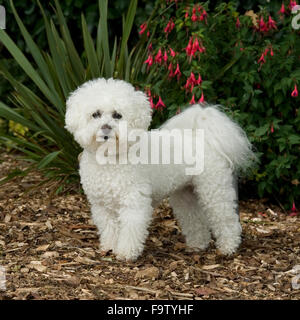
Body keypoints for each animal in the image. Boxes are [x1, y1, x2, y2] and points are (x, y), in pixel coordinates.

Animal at [65, 77, 255, 260]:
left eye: (117, 115)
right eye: (95, 114)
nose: (106, 128)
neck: (111, 158)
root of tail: (203, 138)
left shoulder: (134, 202)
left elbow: (130, 229)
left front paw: (126, 253)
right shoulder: (102, 205)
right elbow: (109, 228)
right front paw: (110, 247)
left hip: (214, 191)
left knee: (227, 220)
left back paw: (228, 247)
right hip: (185, 195)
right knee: (195, 220)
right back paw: (197, 245)